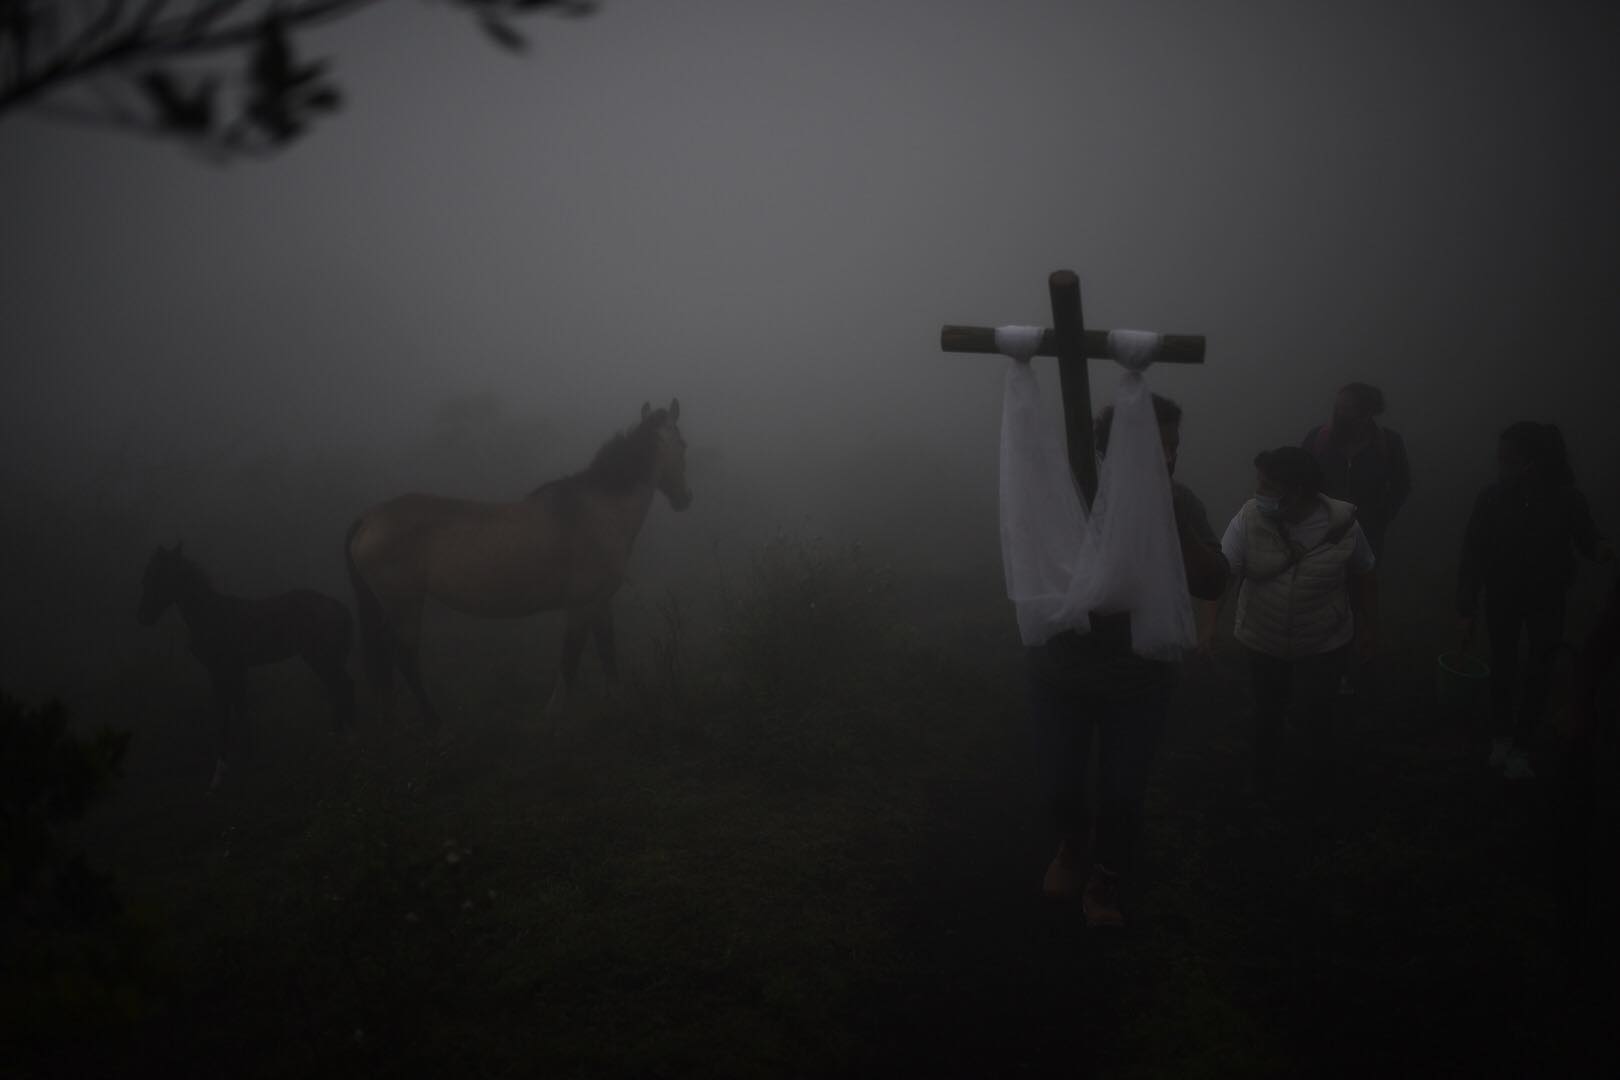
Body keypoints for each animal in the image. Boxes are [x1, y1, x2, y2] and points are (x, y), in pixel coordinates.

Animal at [139, 544, 354, 790]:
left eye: (160, 576)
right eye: (147, 576)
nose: (143, 616)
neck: (212, 614)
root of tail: (340, 608)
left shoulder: (224, 670)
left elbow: (228, 714)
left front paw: (225, 773)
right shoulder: (231, 671)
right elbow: (236, 711)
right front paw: (242, 763)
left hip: (321, 658)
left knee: (342, 688)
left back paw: (342, 743)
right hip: (324, 659)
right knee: (339, 689)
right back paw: (338, 742)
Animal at [348, 395, 690, 725]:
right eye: (684, 445)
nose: (685, 499)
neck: (598, 511)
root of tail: (369, 519)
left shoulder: (600, 601)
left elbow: (608, 651)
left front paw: (617, 704)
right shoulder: (580, 605)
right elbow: (571, 656)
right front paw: (553, 711)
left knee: (384, 656)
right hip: (404, 604)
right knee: (403, 657)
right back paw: (433, 719)